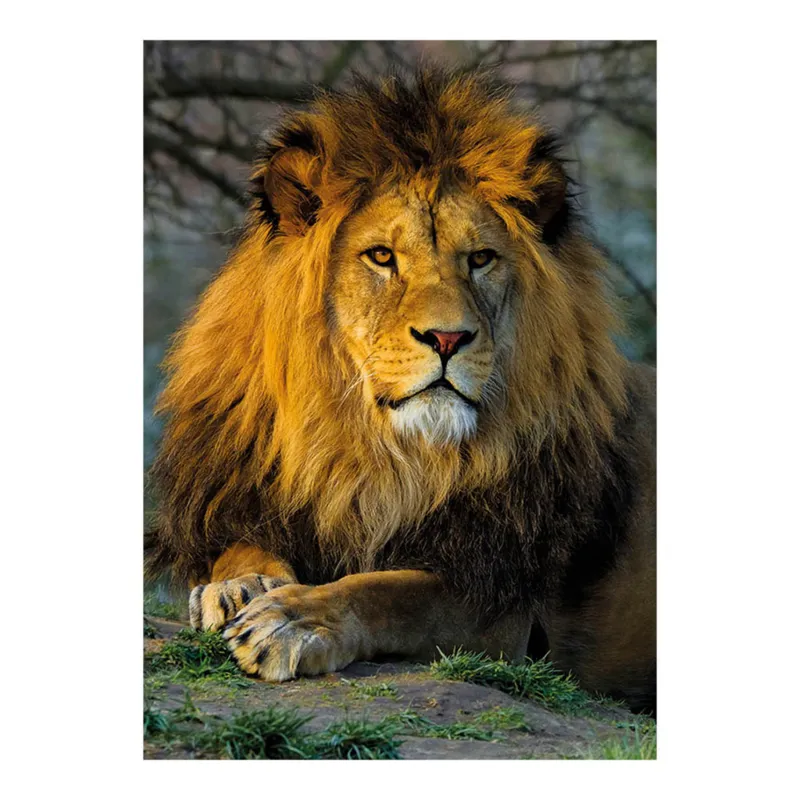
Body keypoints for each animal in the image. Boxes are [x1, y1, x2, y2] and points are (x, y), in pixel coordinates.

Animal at [147, 69, 656, 714]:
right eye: (382, 257)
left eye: (481, 259)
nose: (448, 337)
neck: (374, 455)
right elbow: (243, 545)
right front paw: (241, 587)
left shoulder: (505, 608)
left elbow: (389, 590)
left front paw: (291, 619)